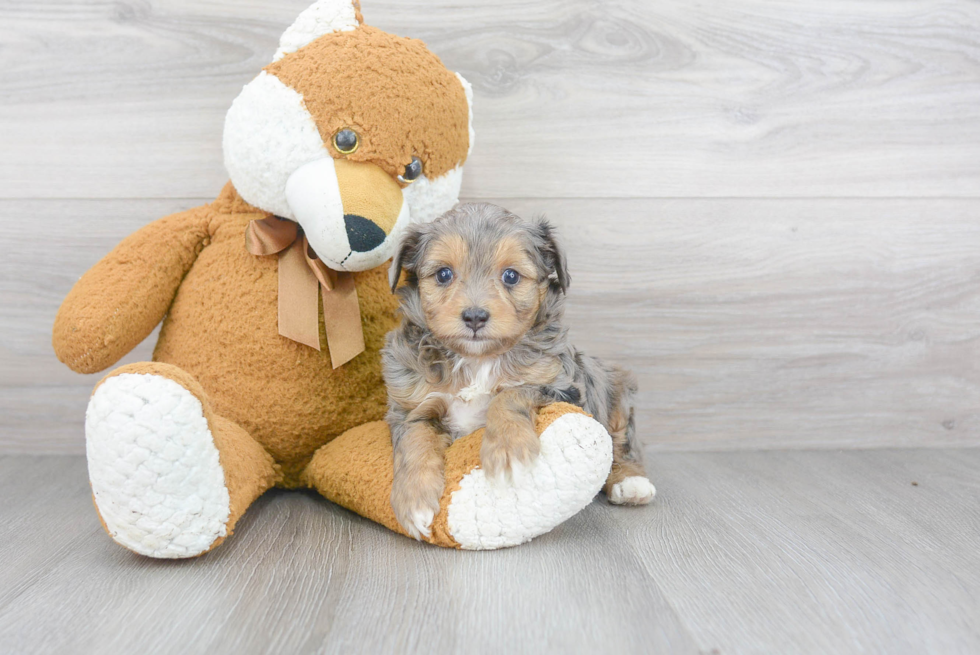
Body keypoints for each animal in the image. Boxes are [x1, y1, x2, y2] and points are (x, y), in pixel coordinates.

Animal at [380, 202, 652, 540]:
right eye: (443, 274)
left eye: (511, 276)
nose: (474, 316)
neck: (477, 361)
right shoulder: (410, 404)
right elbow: (413, 439)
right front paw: (413, 499)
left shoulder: (560, 385)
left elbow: (510, 394)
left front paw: (508, 450)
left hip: (614, 391)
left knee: (623, 444)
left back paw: (632, 483)